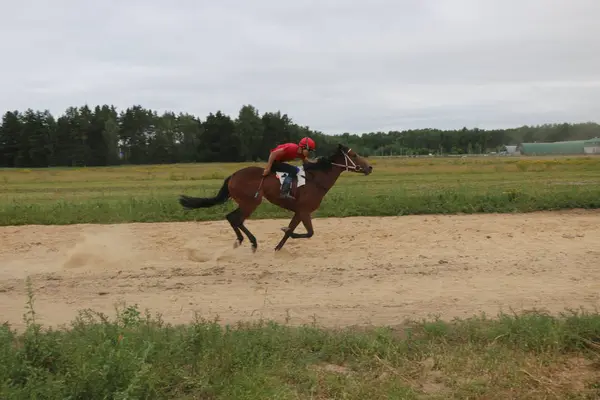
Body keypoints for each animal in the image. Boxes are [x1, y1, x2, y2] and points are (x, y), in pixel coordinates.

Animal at [178, 143, 372, 250]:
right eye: (354, 155)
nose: (369, 167)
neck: (315, 180)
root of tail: (233, 175)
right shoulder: (304, 211)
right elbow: (308, 233)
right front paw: (286, 232)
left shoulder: (299, 212)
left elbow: (293, 232)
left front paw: (279, 246)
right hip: (251, 202)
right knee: (235, 219)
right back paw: (251, 242)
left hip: (247, 203)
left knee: (231, 218)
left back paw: (242, 240)